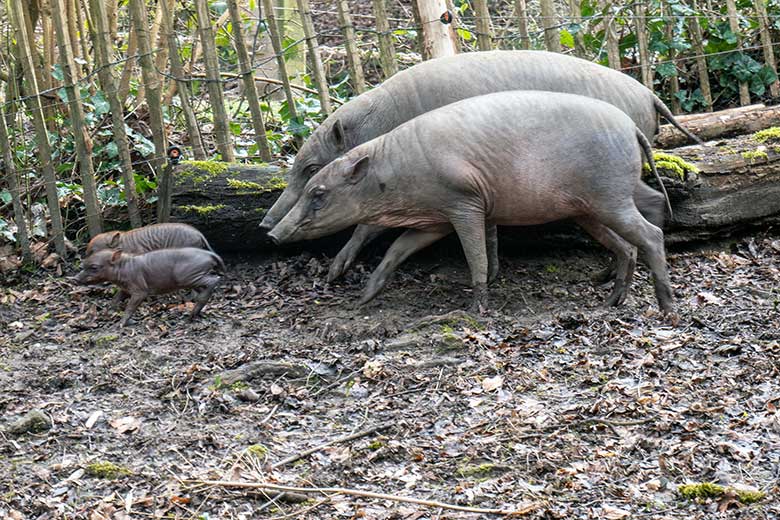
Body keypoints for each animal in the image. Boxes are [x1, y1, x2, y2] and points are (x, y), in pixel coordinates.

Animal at [75, 247, 225, 324]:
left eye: (94, 267)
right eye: (83, 265)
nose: (75, 279)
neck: (124, 267)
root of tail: (210, 254)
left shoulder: (140, 291)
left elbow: (130, 307)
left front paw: (121, 323)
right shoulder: (125, 289)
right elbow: (114, 300)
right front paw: (108, 313)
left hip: (188, 277)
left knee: (214, 280)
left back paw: (193, 312)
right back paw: (194, 313)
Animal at [268, 92, 672, 312]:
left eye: (318, 193)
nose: (271, 234)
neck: (396, 177)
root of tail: (633, 129)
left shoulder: (464, 203)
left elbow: (474, 254)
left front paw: (477, 307)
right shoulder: (433, 221)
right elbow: (397, 250)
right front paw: (363, 298)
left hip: (610, 197)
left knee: (650, 234)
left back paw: (666, 309)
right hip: (589, 208)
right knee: (630, 239)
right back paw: (611, 301)